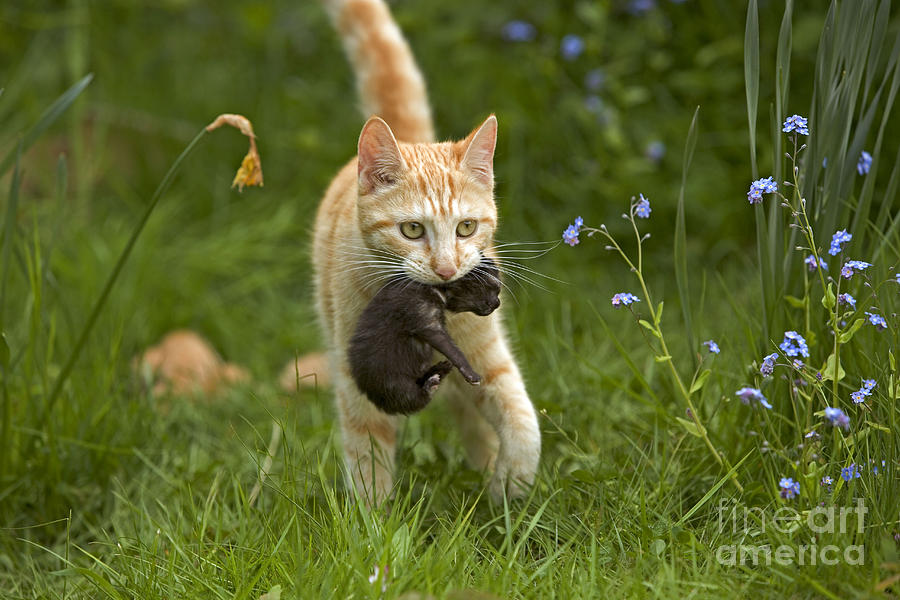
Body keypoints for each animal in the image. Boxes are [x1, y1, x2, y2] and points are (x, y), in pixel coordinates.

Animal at [348, 255, 502, 414]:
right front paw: (471, 374)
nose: (498, 303)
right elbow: (455, 351)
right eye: (494, 288)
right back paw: (430, 384)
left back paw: (439, 370)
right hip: (393, 382)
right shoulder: (427, 322)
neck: (435, 288)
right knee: (415, 400)